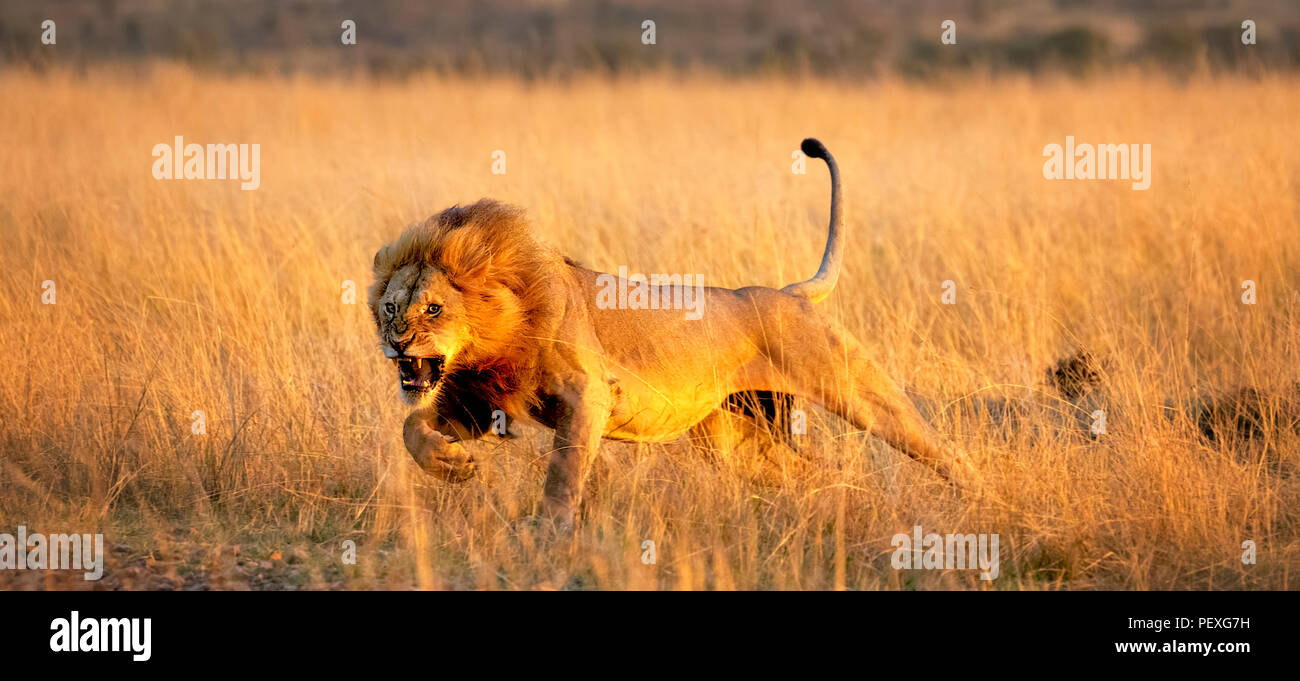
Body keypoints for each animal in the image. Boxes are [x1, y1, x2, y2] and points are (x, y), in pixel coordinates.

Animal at [371, 137, 972, 522]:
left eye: (433, 310)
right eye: (390, 308)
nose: (397, 342)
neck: (502, 322)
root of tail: (789, 292)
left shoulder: (590, 394)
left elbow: (564, 472)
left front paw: (549, 535)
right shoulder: (481, 401)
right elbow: (411, 427)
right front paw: (452, 467)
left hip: (855, 389)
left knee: (939, 448)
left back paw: (977, 502)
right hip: (733, 436)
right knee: (808, 472)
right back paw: (830, 505)